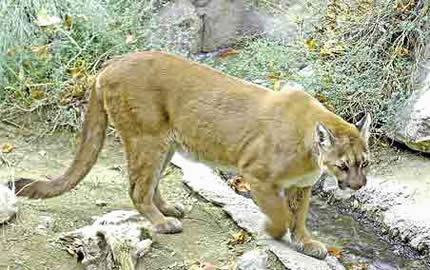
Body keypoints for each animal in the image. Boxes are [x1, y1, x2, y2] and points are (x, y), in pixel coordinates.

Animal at [7, 50, 370, 260]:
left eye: (364, 164)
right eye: (343, 165)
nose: (358, 186)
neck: (311, 149)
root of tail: (109, 65)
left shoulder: (301, 186)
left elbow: (301, 216)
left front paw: (307, 242)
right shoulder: (258, 175)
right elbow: (281, 214)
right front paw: (273, 231)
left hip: (165, 143)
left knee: (150, 183)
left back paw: (169, 209)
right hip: (147, 137)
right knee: (137, 188)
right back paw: (162, 222)